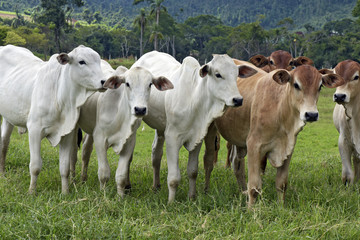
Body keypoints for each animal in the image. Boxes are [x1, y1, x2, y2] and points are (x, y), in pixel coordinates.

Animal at [0, 44, 105, 195]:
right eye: (82, 62)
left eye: (98, 61)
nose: (104, 81)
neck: (61, 96)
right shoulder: (35, 130)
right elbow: (35, 166)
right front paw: (32, 191)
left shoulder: (67, 134)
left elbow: (64, 167)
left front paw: (65, 192)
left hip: (9, 117)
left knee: (4, 143)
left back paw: (2, 173)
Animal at [76, 59, 173, 195]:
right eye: (127, 84)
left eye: (150, 84)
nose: (140, 109)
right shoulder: (100, 138)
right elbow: (104, 173)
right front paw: (103, 194)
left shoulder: (129, 141)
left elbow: (121, 175)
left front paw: (121, 196)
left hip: (91, 132)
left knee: (86, 150)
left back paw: (83, 179)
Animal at [131, 51, 255, 202]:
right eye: (218, 74)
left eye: (236, 74)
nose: (237, 100)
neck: (194, 99)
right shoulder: (172, 138)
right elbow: (174, 178)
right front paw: (171, 202)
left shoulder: (197, 138)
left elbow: (193, 171)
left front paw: (192, 197)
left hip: (160, 128)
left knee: (156, 154)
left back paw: (156, 186)